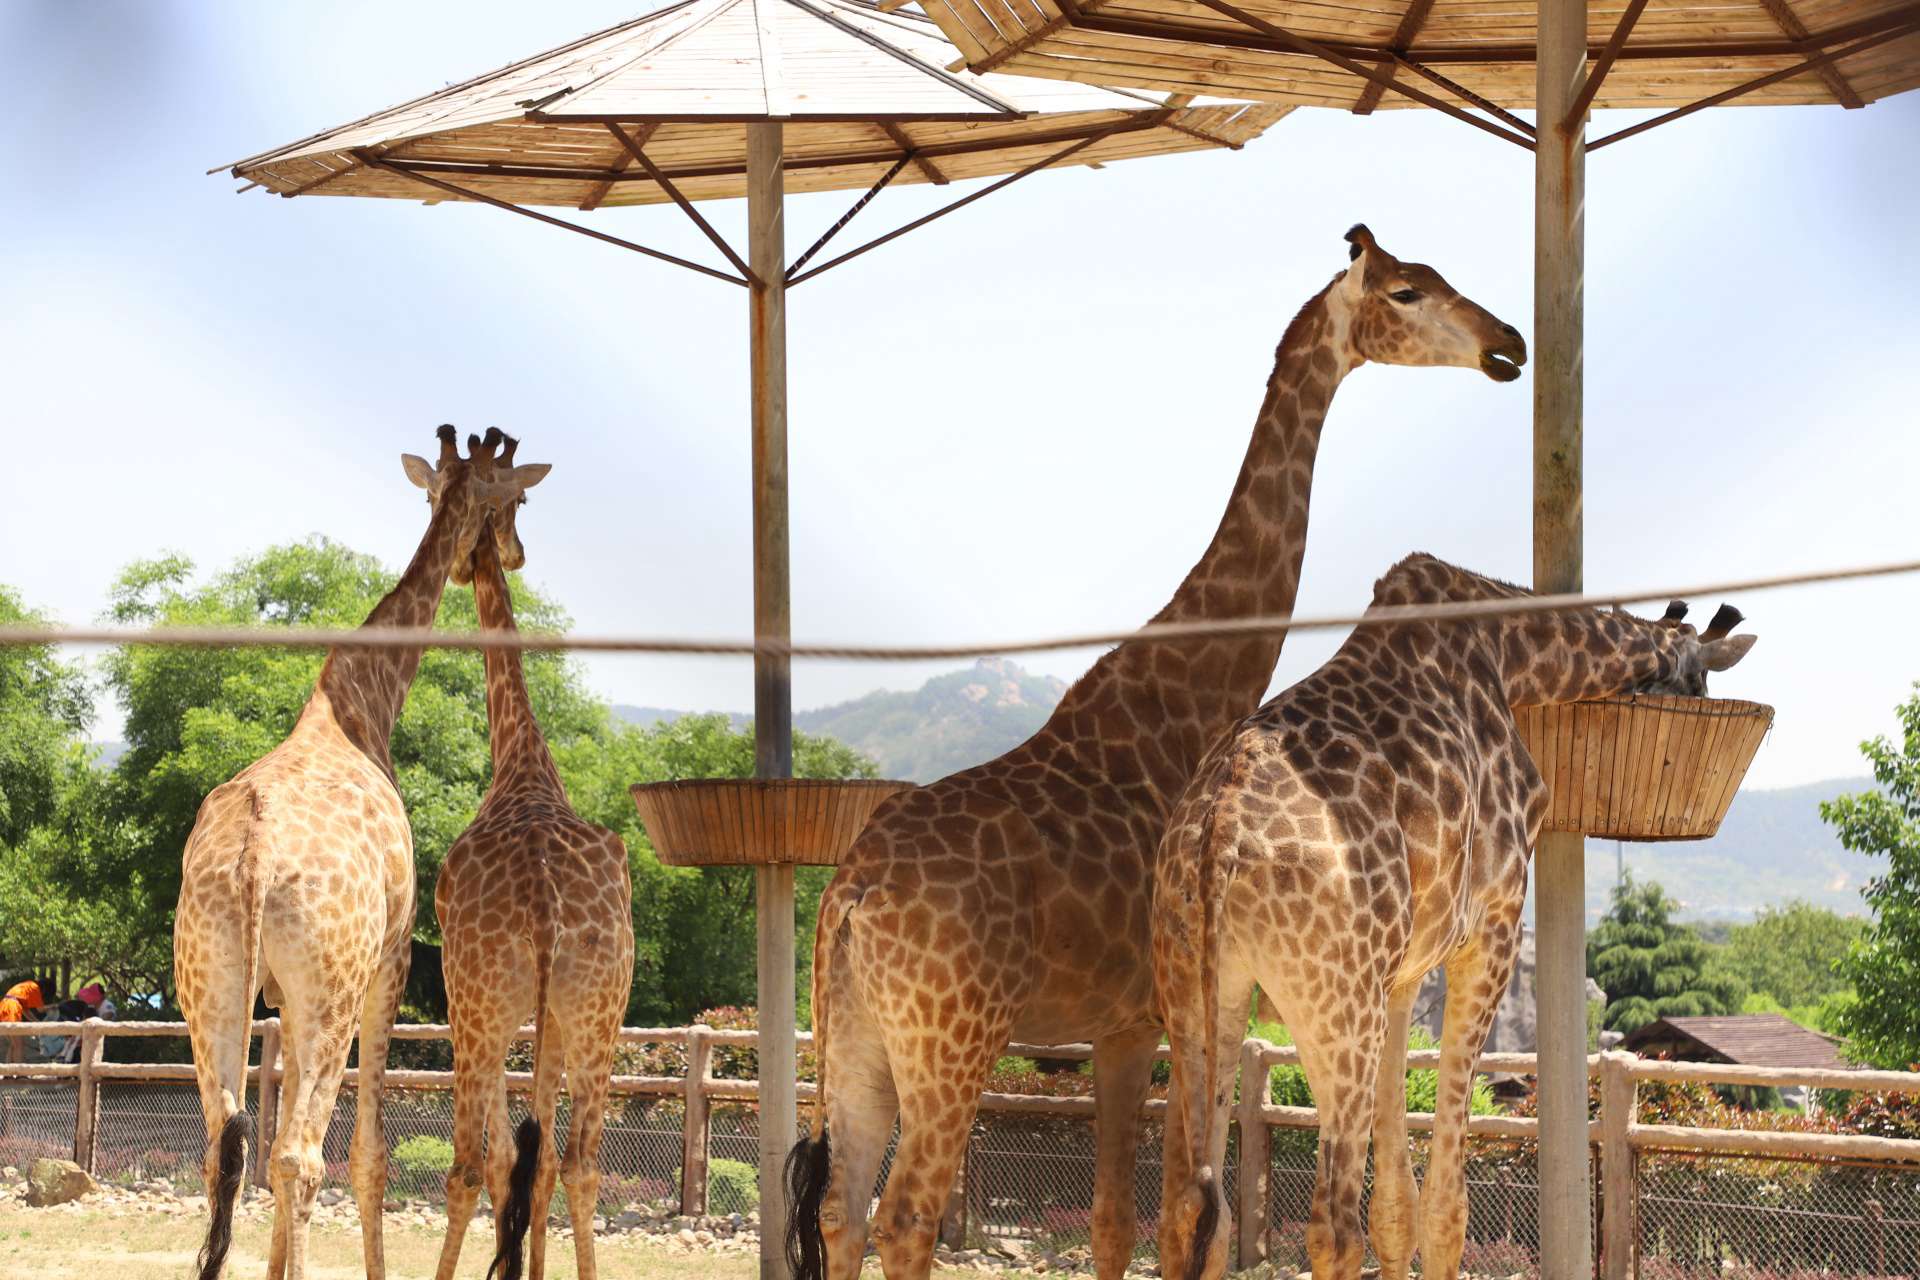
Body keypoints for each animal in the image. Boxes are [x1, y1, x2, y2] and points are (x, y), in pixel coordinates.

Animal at [170, 427, 556, 1280]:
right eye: (515, 497)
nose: (506, 555)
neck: (361, 702)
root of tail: (254, 857)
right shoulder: (392, 958)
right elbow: (369, 1156)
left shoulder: (277, 995)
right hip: (333, 988)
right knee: (300, 1157)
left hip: (206, 982)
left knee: (225, 1148)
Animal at [783, 225, 1528, 1274]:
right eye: (1408, 291)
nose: (1509, 344)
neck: (1189, 694)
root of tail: (848, 900)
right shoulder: (1160, 1017)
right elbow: (1173, 1215)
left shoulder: (1117, 1027)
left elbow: (1114, 1221)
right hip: (950, 1042)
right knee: (907, 1215)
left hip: (851, 1042)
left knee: (842, 1211)